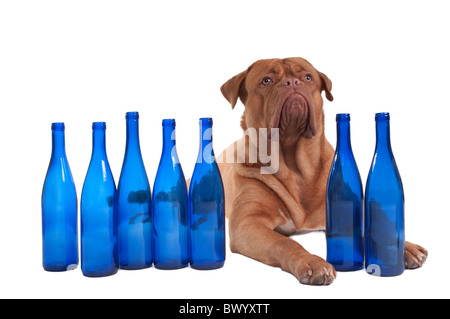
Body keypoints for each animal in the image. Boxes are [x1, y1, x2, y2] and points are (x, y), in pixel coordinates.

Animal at [219, 58, 428, 288]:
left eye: (308, 77)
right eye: (266, 80)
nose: (292, 83)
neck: (295, 166)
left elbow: (378, 227)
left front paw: (404, 247)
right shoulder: (248, 222)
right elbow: (283, 242)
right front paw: (311, 262)